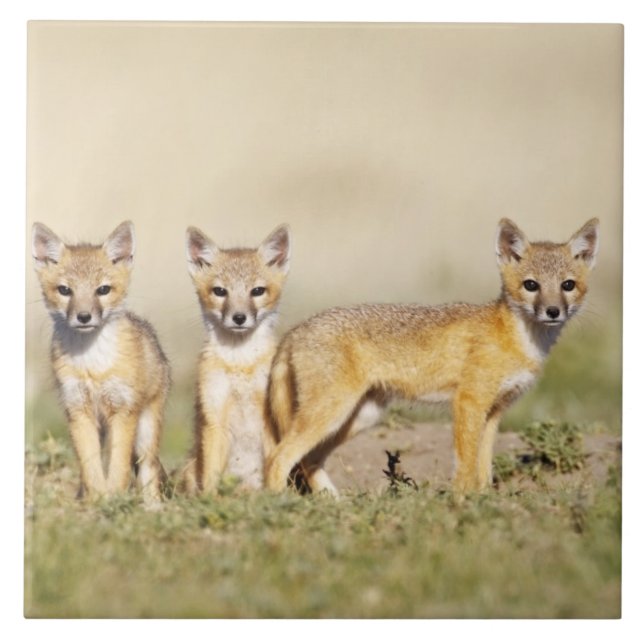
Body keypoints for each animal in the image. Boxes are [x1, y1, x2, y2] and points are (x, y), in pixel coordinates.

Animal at [31, 221, 171, 504]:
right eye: (65, 290)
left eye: (103, 290)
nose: (84, 316)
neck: (92, 365)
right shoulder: (77, 410)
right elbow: (91, 466)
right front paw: (97, 499)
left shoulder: (123, 411)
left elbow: (117, 467)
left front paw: (113, 499)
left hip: (145, 431)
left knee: (148, 468)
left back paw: (152, 506)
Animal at [178, 224, 291, 494]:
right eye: (220, 291)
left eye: (257, 291)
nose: (239, 318)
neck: (241, 363)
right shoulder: (214, 418)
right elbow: (210, 476)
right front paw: (209, 501)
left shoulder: (269, 420)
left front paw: (276, 498)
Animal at [264, 218, 599, 496]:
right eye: (531, 285)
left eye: (567, 285)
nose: (553, 311)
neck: (515, 337)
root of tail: (296, 329)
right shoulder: (468, 402)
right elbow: (465, 465)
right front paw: (461, 503)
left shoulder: (494, 412)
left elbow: (484, 468)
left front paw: (485, 502)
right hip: (331, 412)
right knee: (279, 457)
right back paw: (281, 505)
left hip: (358, 417)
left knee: (308, 461)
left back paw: (335, 504)